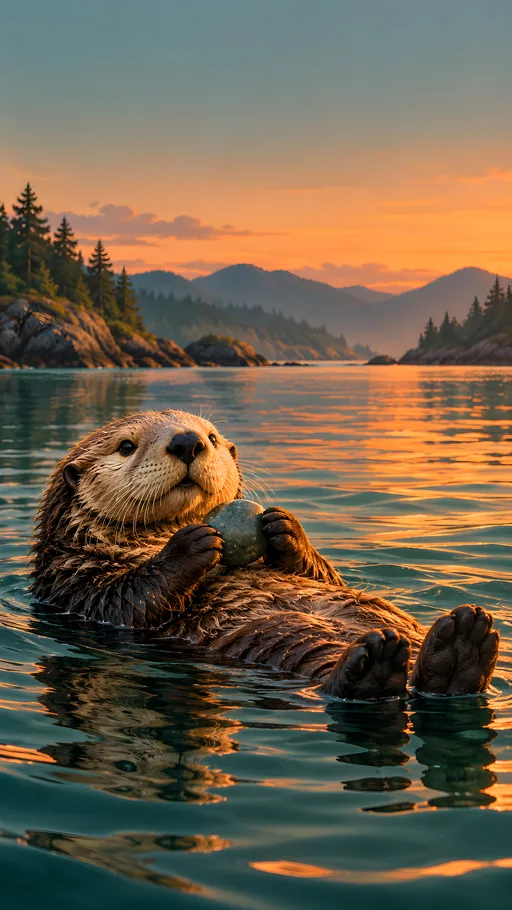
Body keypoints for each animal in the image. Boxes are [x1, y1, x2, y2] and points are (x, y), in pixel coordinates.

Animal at [31, 409, 500, 700]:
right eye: (126, 446)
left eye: (212, 437)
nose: (187, 442)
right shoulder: (72, 583)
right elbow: (126, 602)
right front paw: (193, 543)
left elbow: (327, 576)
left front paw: (284, 528)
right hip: (295, 646)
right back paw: (401, 661)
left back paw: (463, 644)